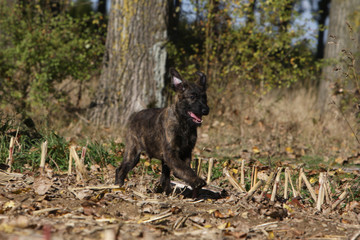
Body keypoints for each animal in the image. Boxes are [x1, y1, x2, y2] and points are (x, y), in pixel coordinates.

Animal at [116, 67, 208, 197]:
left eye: (205, 98)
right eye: (192, 97)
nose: (206, 110)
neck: (183, 123)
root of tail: (135, 115)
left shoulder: (186, 151)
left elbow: (184, 166)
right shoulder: (170, 153)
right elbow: (183, 167)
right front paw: (196, 181)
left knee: (164, 177)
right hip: (133, 152)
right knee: (121, 169)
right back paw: (118, 186)